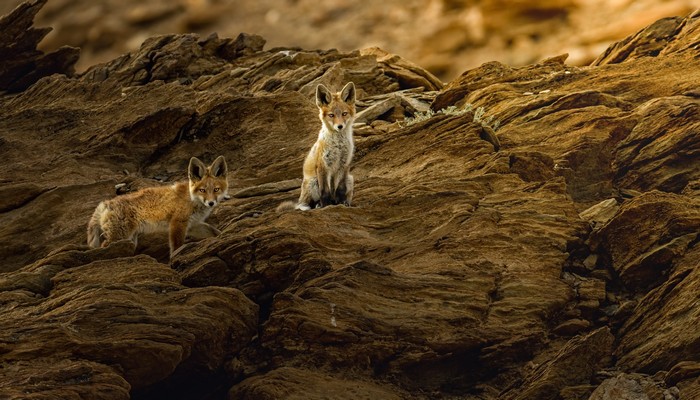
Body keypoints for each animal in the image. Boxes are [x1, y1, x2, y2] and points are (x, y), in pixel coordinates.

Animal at [86, 155, 230, 258]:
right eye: (202, 190)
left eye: (216, 189)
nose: (211, 203)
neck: (192, 199)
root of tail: (106, 203)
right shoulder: (177, 223)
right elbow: (177, 247)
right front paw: (175, 258)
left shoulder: (193, 224)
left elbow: (214, 231)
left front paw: (223, 236)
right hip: (119, 236)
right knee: (104, 246)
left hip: (129, 239)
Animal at [278, 82, 356, 212]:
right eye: (331, 115)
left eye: (344, 114)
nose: (340, 126)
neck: (338, 146)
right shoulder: (323, 165)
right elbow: (325, 191)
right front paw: (325, 206)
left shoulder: (344, 165)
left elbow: (340, 189)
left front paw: (342, 203)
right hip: (313, 182)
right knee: (306, 204)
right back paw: (317, 205)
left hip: (350, 178)